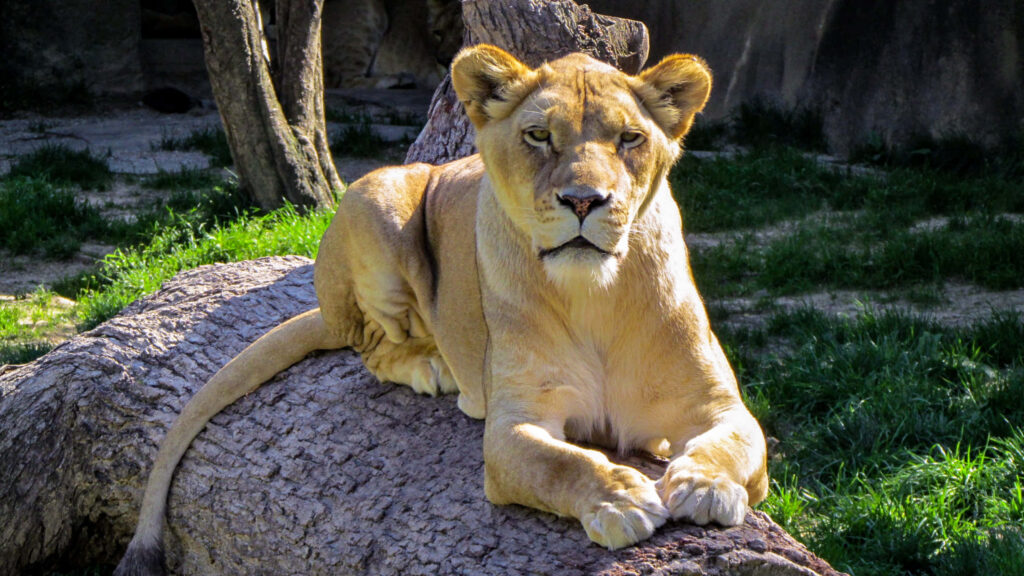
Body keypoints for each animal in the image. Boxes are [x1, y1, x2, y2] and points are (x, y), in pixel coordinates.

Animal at [114, 44, 768, 575]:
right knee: (370, 346)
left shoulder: (715, 404)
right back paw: (433, 368)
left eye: (629, 139)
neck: (595, 294)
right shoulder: (513, 425)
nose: (584, 200)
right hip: (376, 194)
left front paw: (705, 484)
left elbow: (737, 442)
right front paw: (620, 498)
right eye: (539, 136)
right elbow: (560, 464)